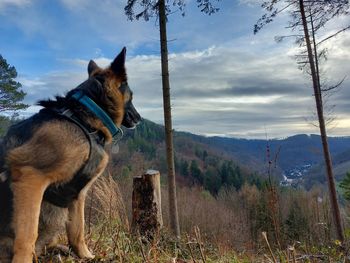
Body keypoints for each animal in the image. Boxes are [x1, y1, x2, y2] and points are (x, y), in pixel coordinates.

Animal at [0, 48, 141, 262]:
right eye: (131, 96)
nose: (140, 119)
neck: (84, 119)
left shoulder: (78, 194)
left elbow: (77, 231)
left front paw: (86, 256)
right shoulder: (30, 177)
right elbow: (27, 235)